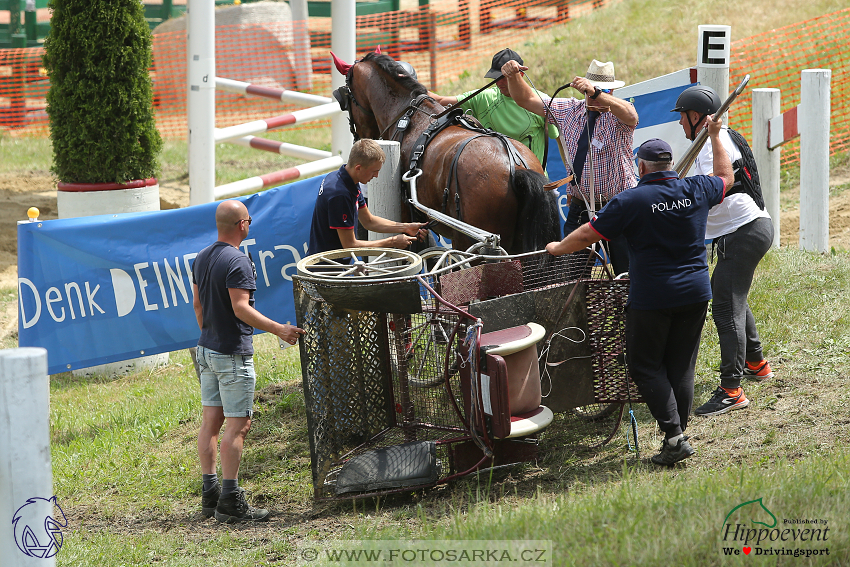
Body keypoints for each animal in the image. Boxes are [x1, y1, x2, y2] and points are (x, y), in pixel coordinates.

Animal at [332, 51, 564, 255]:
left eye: (345, 99)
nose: (361, 137)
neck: (407, 115)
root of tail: (516, 168)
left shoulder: (407, 214)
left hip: (469, 239)